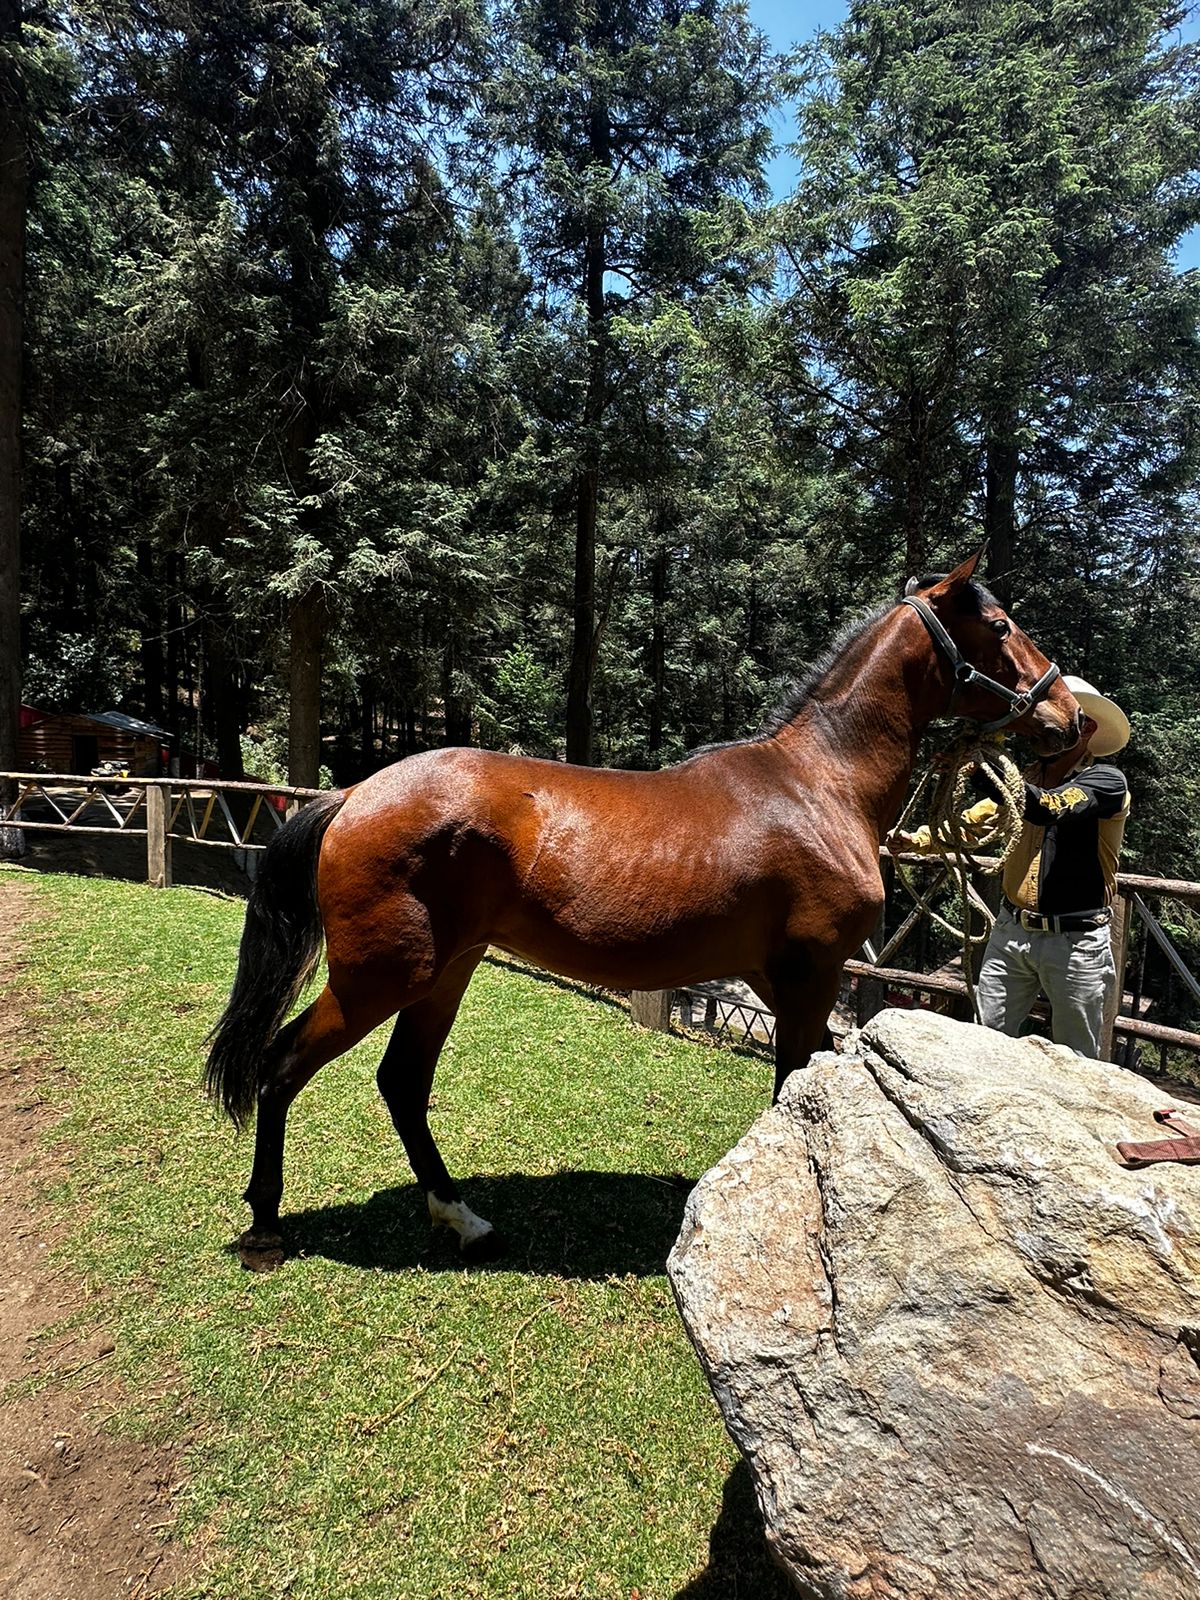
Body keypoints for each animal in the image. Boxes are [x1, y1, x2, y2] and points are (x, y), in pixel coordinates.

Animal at [204, 550, 1081, 1260]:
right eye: (1000, 625)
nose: (1068, 717)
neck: (817, 784)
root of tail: (352, 796)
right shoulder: (812, 975)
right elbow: (792, 1086)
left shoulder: (781, 981)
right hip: (379, 978)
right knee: (281, 1067)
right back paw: (266, 1227)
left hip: (443, 973)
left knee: (402, 1084)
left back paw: (463, 1220)